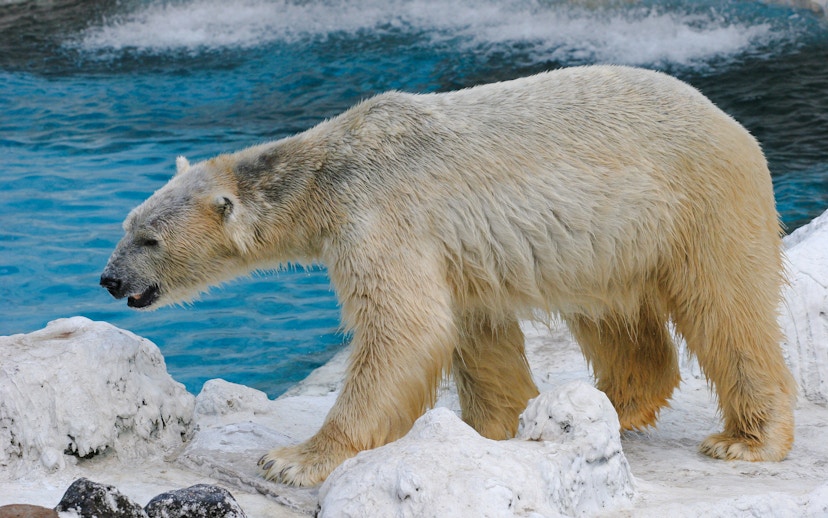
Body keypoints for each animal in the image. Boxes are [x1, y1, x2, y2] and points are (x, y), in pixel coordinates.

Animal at [101, 65, 796, 487]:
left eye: (149, 238)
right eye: (127, 225)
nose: (109, 280)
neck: (327, 170)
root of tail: (731, 123)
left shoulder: (381, 215)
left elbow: (404, 328)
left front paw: (292, 459)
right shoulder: (450, 250)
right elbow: (474, 330)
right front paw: (491, 429)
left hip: (698, 202)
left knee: (727, 307)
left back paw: (745, 440)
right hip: (614, 237)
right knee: (616, 321)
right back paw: (615, 406)